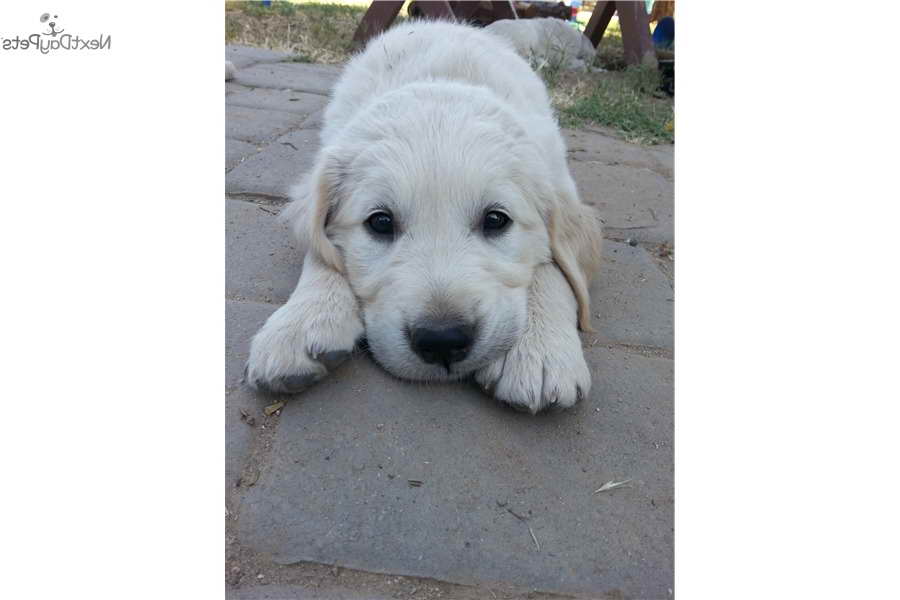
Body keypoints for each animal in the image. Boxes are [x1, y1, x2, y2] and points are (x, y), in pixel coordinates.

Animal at [243, 19, 600, 412]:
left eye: (496, 220)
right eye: (380, 222)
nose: (443, 340)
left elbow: (555, 266)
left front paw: (540, 351)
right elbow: (323, 255)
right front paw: (303, 320)